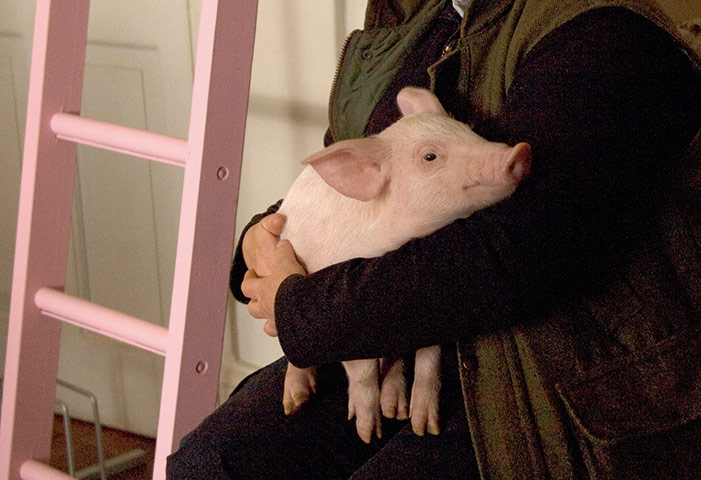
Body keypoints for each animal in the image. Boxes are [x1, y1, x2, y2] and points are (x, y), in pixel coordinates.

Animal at [277, 87, 531, 444]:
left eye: (468, 129)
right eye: (430, 157)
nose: (520, 150)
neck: (401, 238)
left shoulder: (427, 315)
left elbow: (429, 359)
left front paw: (424, 428)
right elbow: (362, 370)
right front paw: (368, 432)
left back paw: (394, 408)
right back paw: (295, 403)